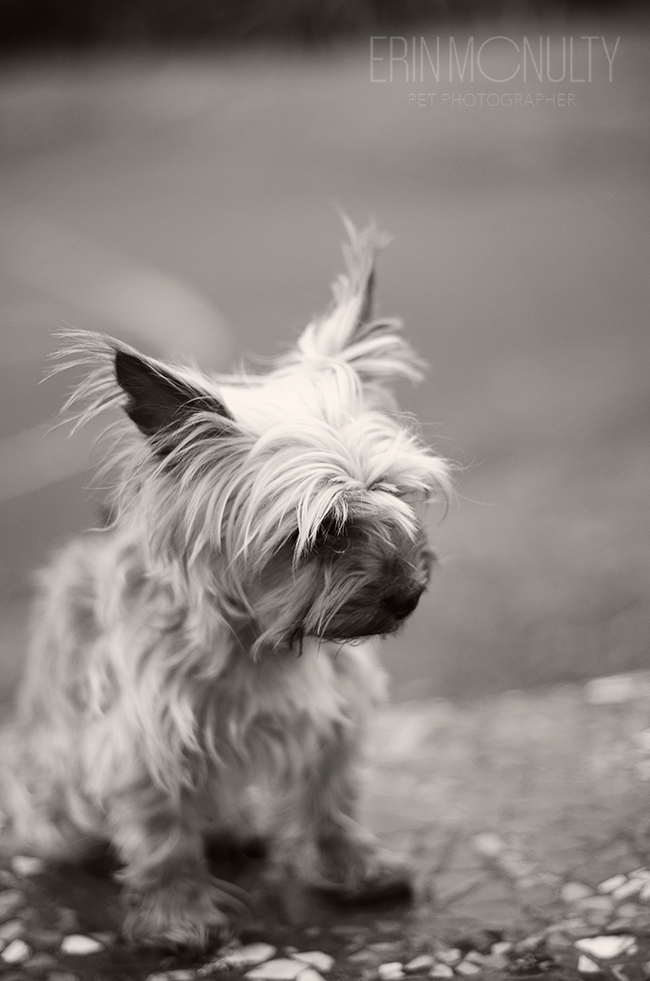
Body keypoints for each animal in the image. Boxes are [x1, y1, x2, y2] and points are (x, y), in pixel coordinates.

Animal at [0, 220, 450, 940]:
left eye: (396, 495)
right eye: (323, 531)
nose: (408, 594)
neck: (264, 642)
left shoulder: (333, 718)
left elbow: (332, 799)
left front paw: (356, 869)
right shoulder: (143, 740)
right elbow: (163, 835)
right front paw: (176, 915)